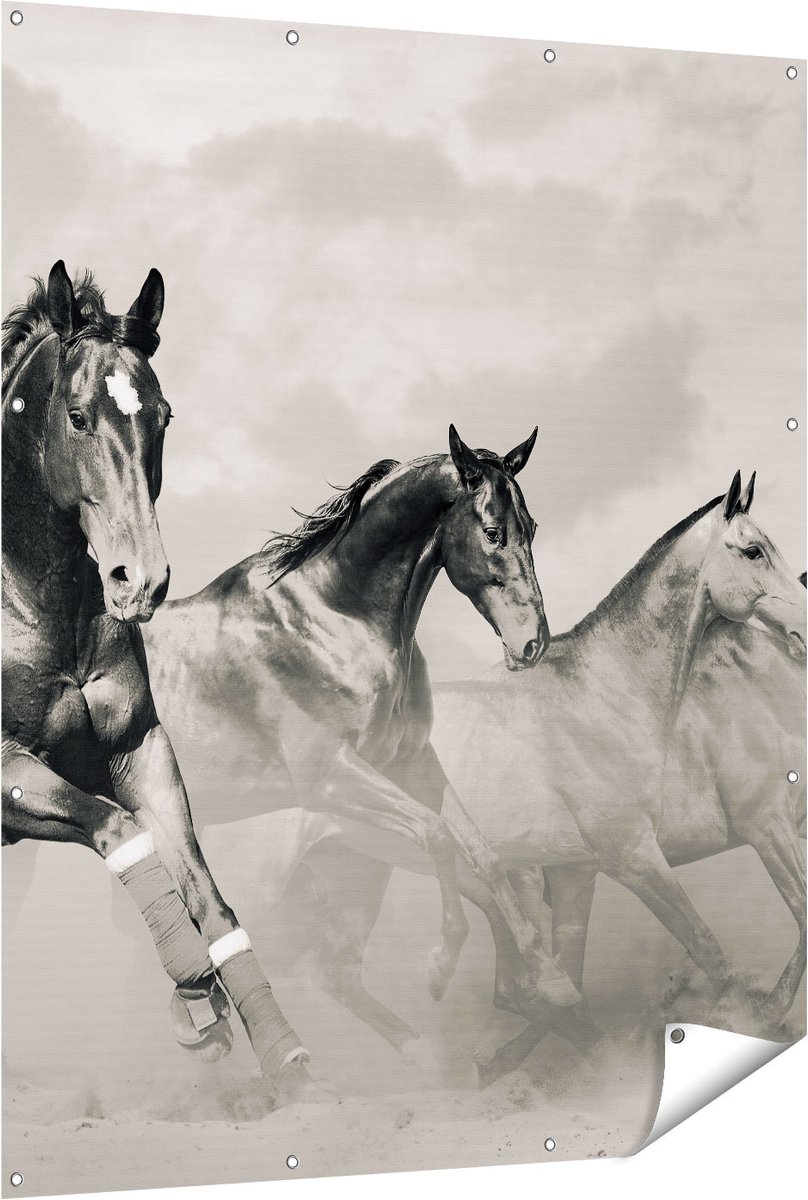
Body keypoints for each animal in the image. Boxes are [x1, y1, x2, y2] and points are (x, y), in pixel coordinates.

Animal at [1, 264, 309, 1094]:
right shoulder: (10, 777)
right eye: (77, 416)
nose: (139, 579)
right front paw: (192, 982)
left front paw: (281, 1053)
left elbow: (208, 896)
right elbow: (116, 828)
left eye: (162, 417)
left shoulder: (140, 752)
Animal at [141, 428, 584, 1014]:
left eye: (531, 529)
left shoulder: (410, 762)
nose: (532, 644)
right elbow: (437, 835)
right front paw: (441, 963)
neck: (335, 618)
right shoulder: (330, 778)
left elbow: (482, 853)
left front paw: (549, 976)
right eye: (492, 532)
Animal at [190, 474, 805, 1074]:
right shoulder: (641, 853)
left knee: (340, 973)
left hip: (360, 873)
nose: (803, 624)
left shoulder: (579, 872)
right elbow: (714, 948)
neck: (607, 690)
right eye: (753, 550)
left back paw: (433, 1054)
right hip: (276, 883)